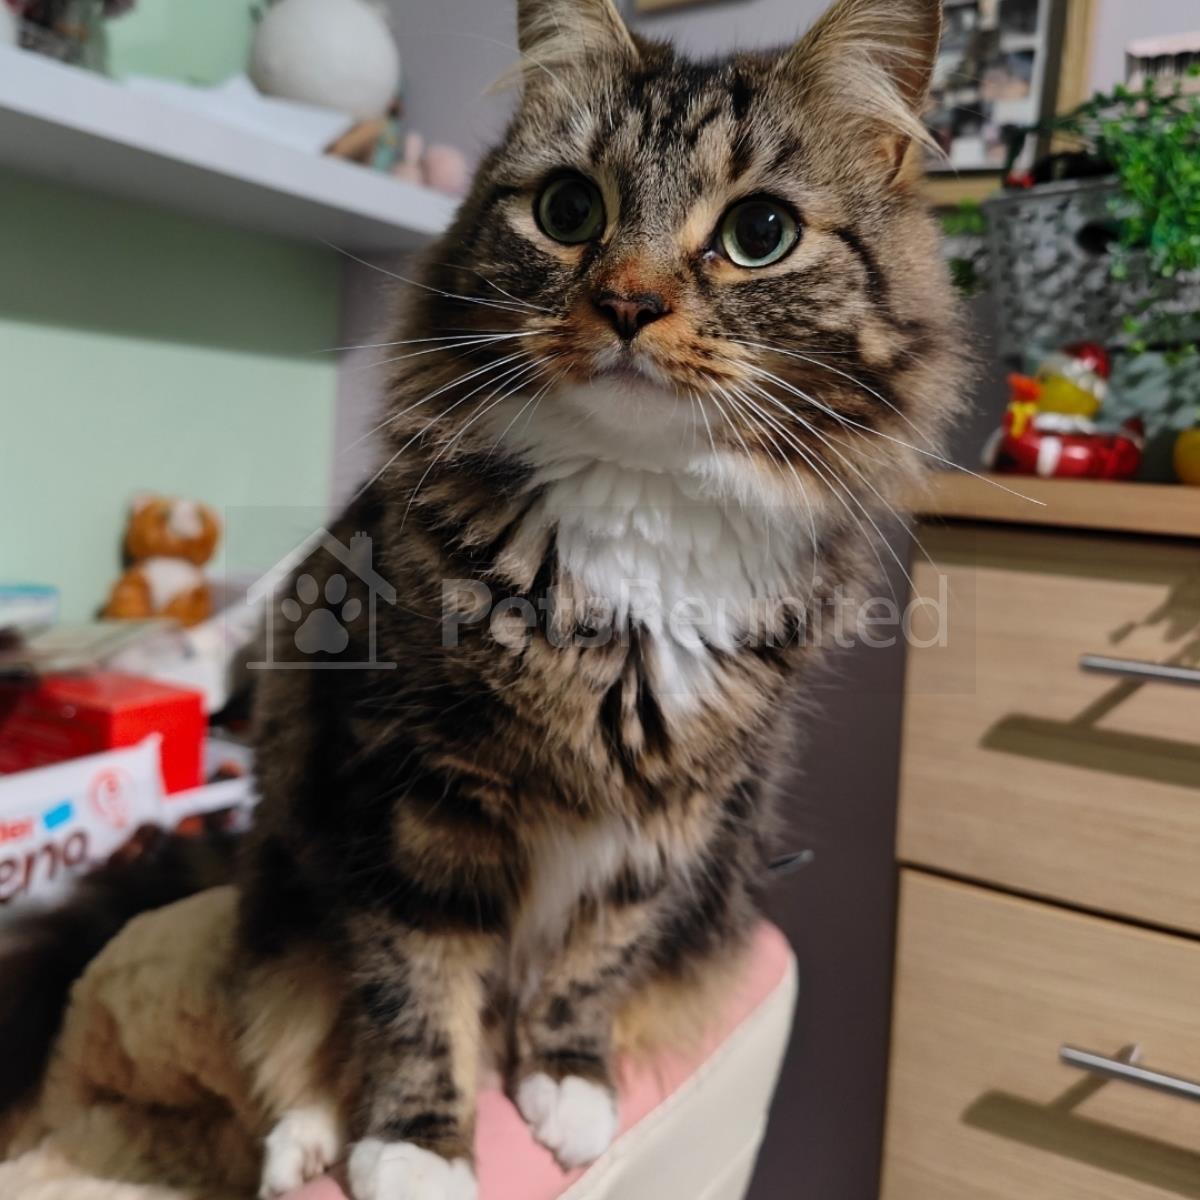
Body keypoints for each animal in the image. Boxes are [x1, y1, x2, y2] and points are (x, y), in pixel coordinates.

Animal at [236, 1, 967, 1198]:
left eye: (760, 231)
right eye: (569, 210)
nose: (628, 302)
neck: (640, 516)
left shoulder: (679, 811)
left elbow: (597, 957)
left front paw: (566, 1082)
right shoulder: (413, 785)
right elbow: (414, 977)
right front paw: (417, 1144)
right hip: (284, 858)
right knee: (293, 1014)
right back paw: (304, 1145)